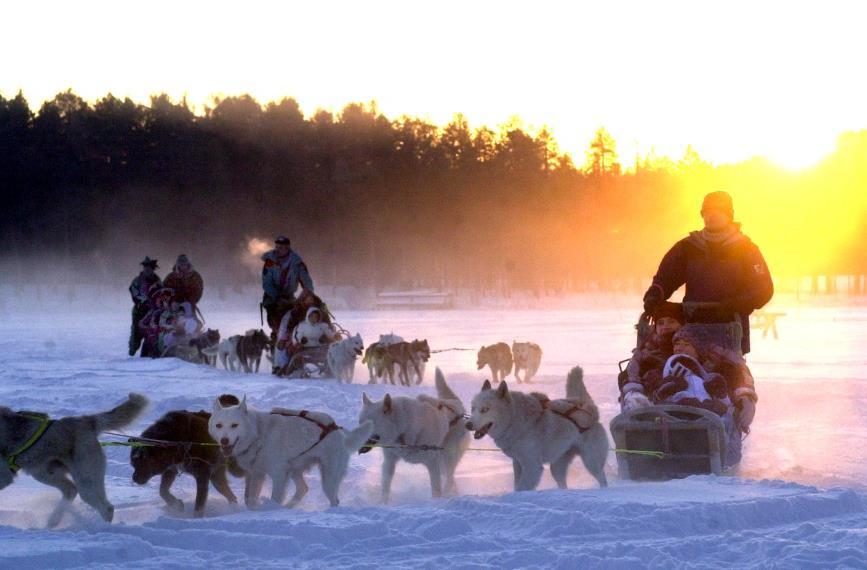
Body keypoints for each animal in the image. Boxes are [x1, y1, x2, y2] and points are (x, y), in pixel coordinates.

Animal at [0, 392, 147, 524]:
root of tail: (86, 421)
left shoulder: (5, 476)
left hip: (85, 483)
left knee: (106, 508)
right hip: (44, 473)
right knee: (71, 489)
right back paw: (53, 521)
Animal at [212, 392, 374, 508]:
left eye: (234, 425)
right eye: (218, 425)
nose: (224, 441)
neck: (259, 433)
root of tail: (337, 430)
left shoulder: (278, 474)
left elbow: (275, 497)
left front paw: (271, 509)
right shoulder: (257, 473)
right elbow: (251, 499)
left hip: (327, 478)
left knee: (334, 499)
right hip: (294, 469)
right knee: (303, 488)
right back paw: (289, 507)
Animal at [358, 366, 472, 500]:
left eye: (369, 425)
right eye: (359, 422)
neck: (404, 428)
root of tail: (455, 404)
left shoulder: (432, 463)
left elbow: (436, 489)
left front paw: (436, 502)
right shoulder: (389, 461)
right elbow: (385, 487)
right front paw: (382, 502)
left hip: (447, 458)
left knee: (449, 479)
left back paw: (447, 495)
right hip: (443, 462)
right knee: (451, 479)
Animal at [468, 366, 612, 490]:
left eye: (485, 409)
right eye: (473, 408)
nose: (467, 424)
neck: (515, 419)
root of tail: (590, 408)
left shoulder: (533, 466)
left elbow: (520, 488)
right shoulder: (518, 463)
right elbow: (517, 486)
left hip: (591, 462)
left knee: (602, 480)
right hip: (556, 468)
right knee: (563, 484)